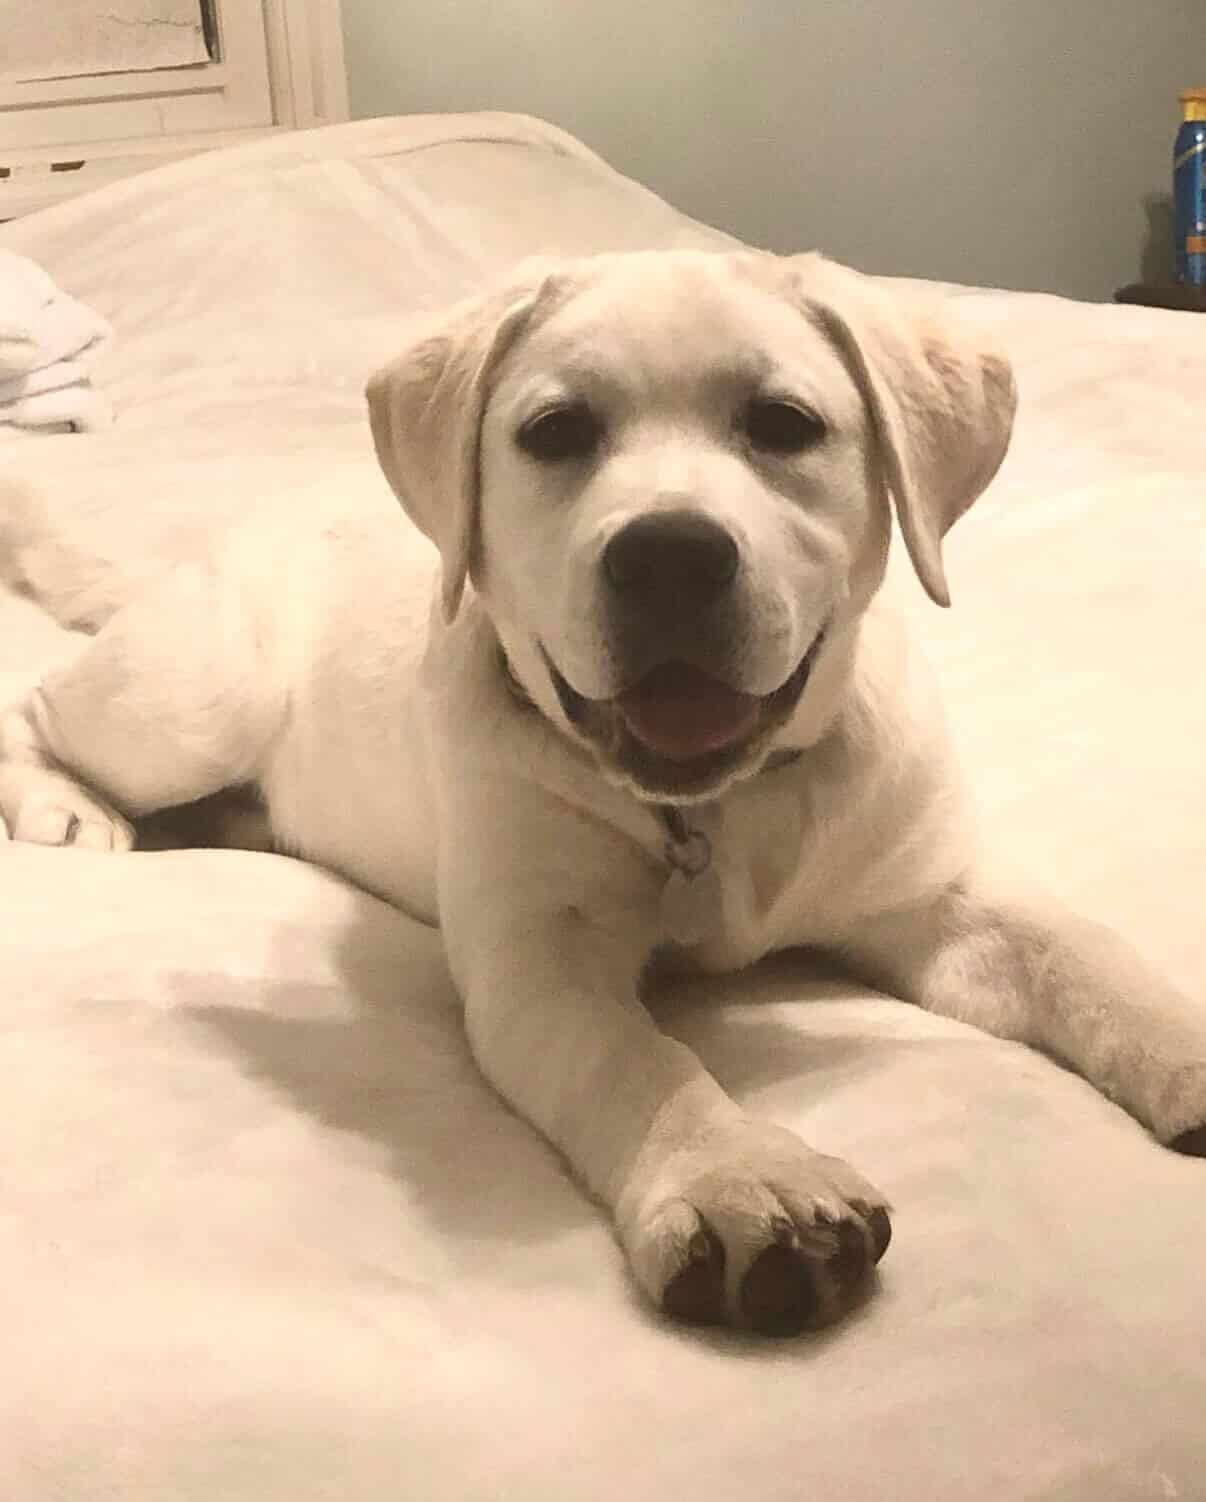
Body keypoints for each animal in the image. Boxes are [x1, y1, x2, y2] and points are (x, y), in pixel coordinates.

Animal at [2, 249, 1206, 1339]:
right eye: (555, 432)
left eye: (783, 424)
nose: (671, 555)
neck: (719, 809)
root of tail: (208, 545)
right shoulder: (540, 960)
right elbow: (639, 1059)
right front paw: (734, 1175)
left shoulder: (934, 892)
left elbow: (1089, 956)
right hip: (193, 701)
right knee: (39, 705)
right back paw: (67, 805)